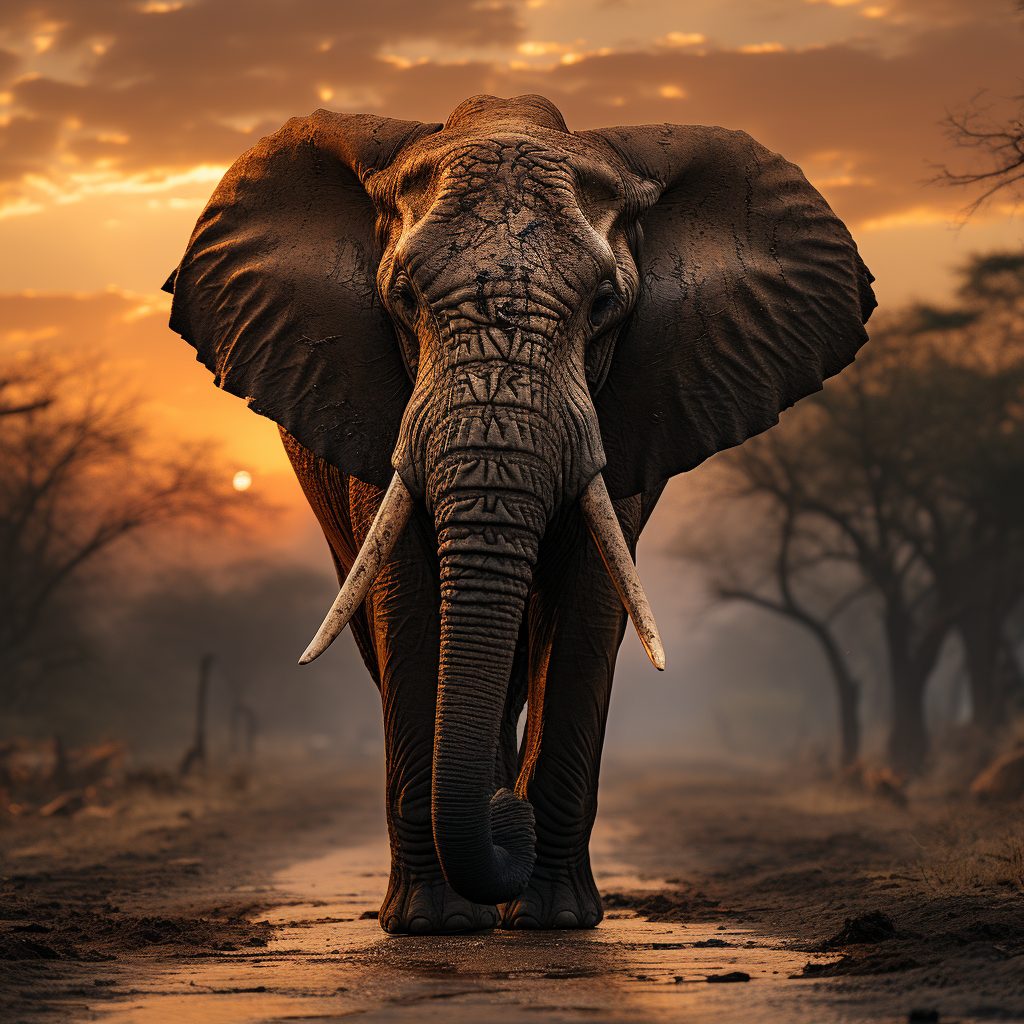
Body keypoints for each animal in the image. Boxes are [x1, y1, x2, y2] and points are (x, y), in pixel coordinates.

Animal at [163, 94, 876, 937]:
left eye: (603, 306)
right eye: (403, 299)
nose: (509, 818)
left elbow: (588, 606)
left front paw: (552, 917)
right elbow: (410, 607)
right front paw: (434, 923)